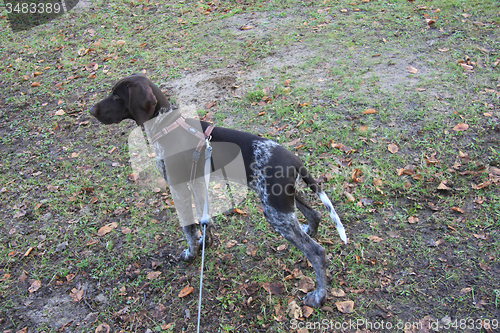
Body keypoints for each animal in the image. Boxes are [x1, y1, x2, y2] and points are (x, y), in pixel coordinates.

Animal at [90, 74, 346, 308]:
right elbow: (205, 220)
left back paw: (319, 296)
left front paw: (191, 254)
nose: (91, 110)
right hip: (283, 200)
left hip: (276, 212)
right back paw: (310, 231)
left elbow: (189, 229)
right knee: (315, 214)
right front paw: (207, 243)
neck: (167, 126)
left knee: (317, 253)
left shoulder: (178, 189)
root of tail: (295, 160)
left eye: (116, 95)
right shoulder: (197, 183)